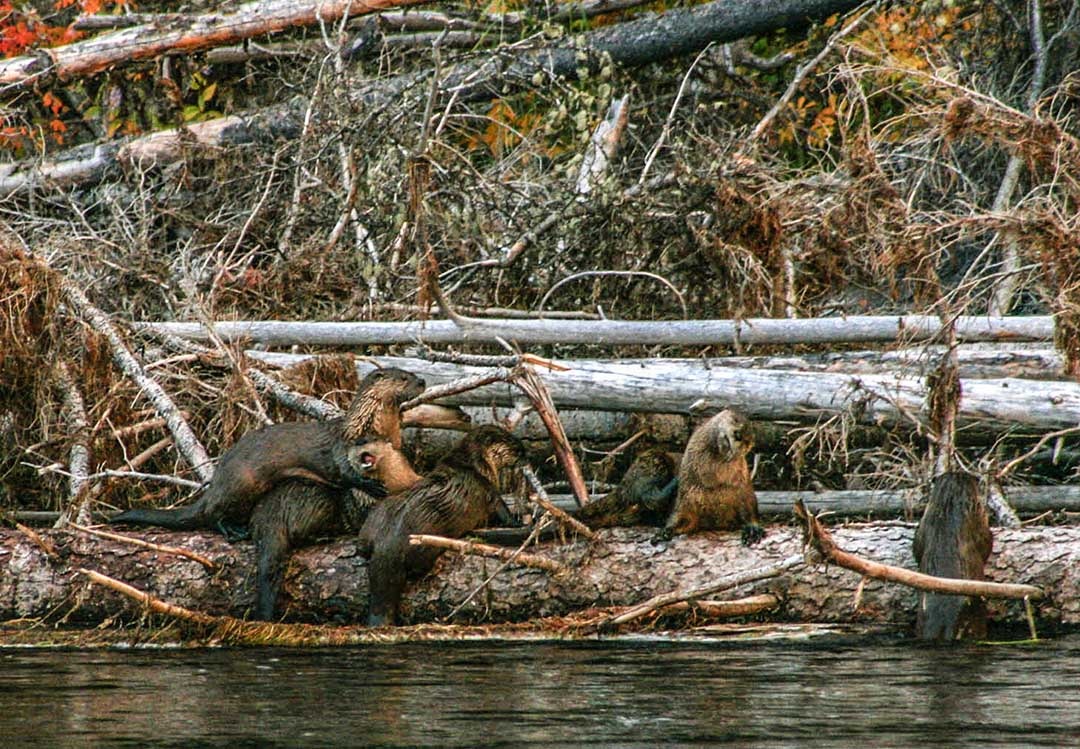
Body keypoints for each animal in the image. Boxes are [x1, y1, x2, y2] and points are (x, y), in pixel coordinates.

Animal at [110, 369, 425, 539]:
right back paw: (232, 530)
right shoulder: (343, 445)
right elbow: (343, 471)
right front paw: (370, 485)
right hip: (243, 482)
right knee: (213, 514)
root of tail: (215, 486)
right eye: (403, 377)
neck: (372, 426)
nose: (422, 381)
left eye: (411, 375)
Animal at [251, 440, 421, 621]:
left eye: (367, 441)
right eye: (358, 444)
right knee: (299, 533)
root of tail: (270, 513)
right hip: (319, 502)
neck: (395, 486)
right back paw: (327, 537)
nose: (356, 445)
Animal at [360, 427, 524, 625]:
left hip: (373, 521)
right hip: (423, 544)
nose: (525, 452)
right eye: (513, 443)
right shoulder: (488, 490)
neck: (476, 465)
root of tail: (387, 545)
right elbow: (501, 510)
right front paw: (517, 522)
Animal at [652, 410, 764, 546]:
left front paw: (752, 530)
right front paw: (664, 532)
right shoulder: (686, 497)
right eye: (735, 421)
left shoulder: (743, 489)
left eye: (749, 436)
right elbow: (680, 519)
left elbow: (750, 510)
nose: (741, 437)